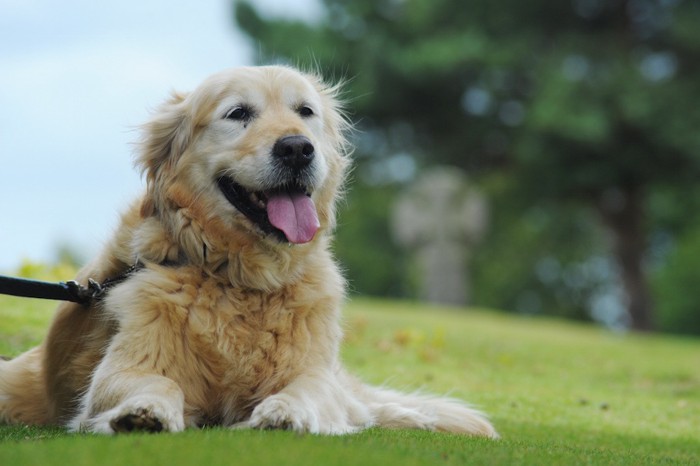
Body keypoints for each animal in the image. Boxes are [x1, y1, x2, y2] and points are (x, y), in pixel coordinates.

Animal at [0, 65, 498, 436]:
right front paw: (145, 411)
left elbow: (310, 391)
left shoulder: (312, 370)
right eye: (238, 113)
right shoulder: (125, 365)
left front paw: (286, 413)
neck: (242, 278)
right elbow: (154, 383)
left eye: (305, 112)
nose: (297, 148)